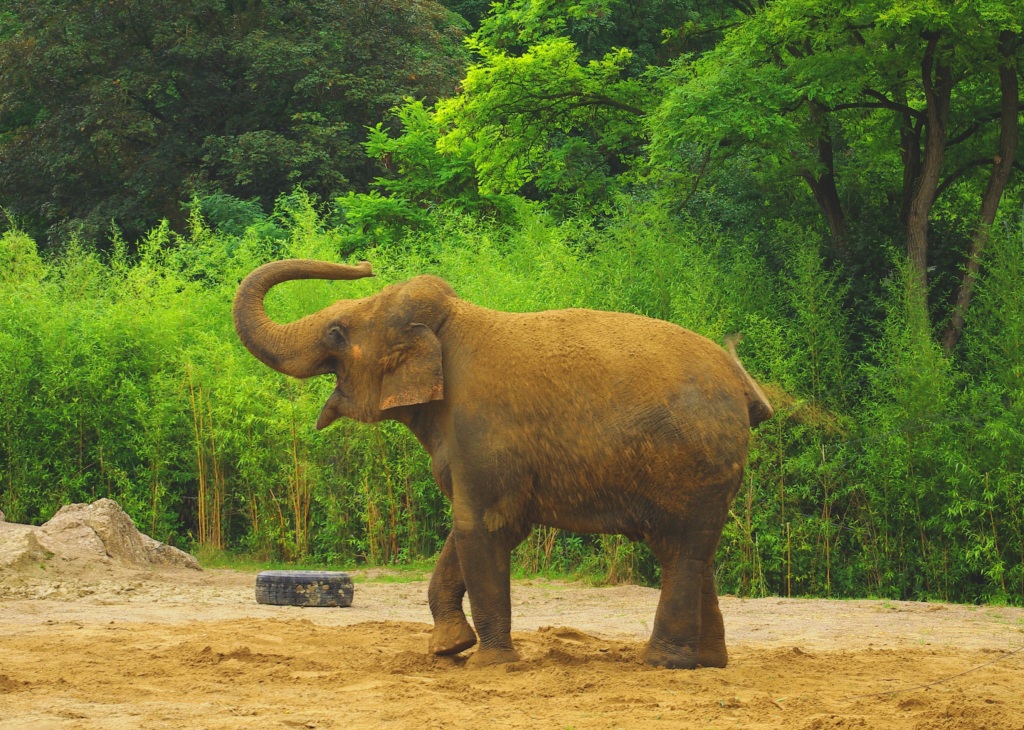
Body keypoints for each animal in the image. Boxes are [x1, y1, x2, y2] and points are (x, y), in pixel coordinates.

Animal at [235, 259, 770, 667]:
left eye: (336, 332)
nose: (365, 265)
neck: (449, 323)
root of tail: (742, 385)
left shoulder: (481, 431)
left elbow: (483, 527)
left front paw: (488, 664)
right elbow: (464, 530)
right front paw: (449, 649)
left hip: (695, 461)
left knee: (681, 551)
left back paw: (662, 664)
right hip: (707, 470)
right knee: (695, 552)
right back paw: (708, 664)